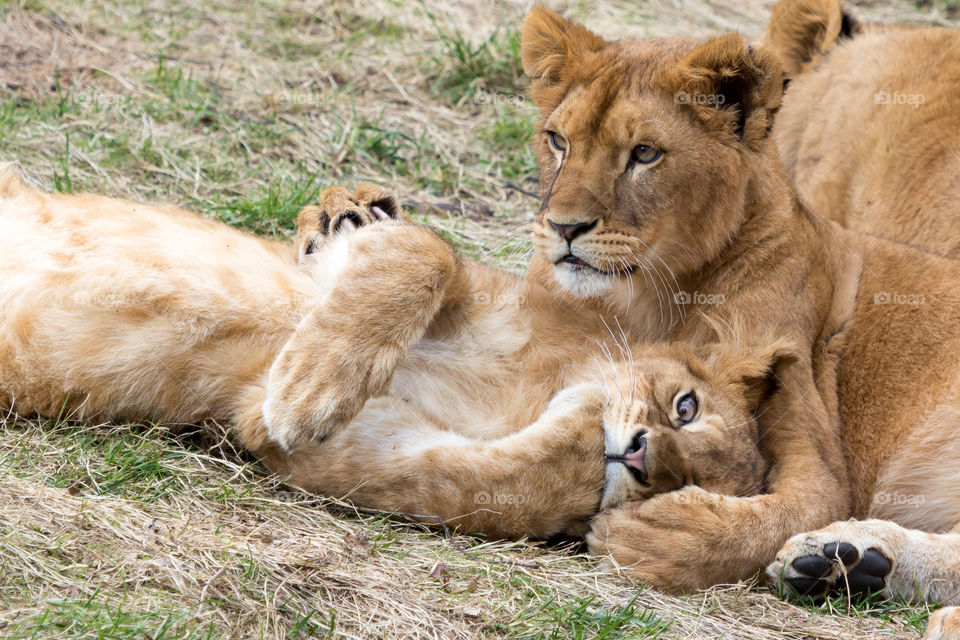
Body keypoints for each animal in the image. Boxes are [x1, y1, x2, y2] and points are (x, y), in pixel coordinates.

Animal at [0, 166, 781, 541]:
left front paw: (582, 443)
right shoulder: (451, 276)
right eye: (687, 407)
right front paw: (311, 387)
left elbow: (506, 482)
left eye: (684, 489)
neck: (532, 388)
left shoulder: (272, 432)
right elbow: (420, 258)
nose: (643, 458)